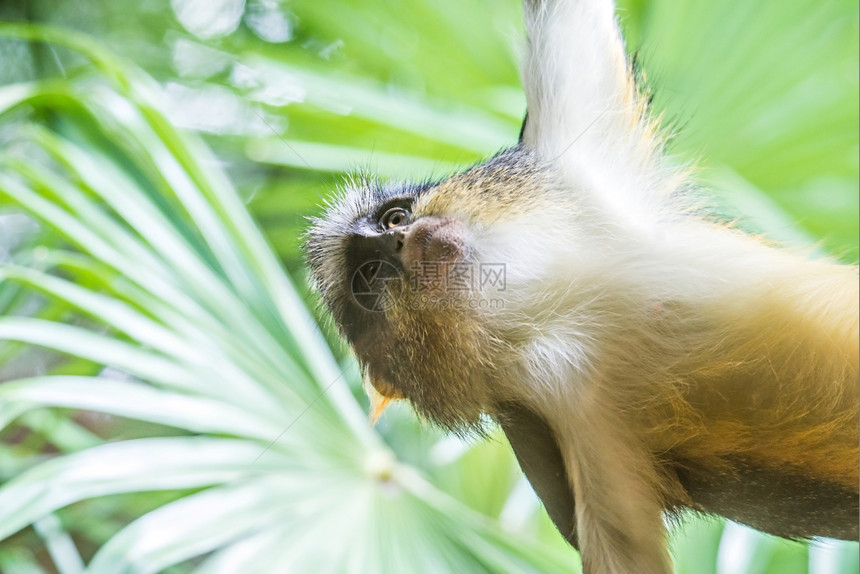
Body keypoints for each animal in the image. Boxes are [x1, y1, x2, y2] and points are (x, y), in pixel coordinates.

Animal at [302, 0, 852, 572]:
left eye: (393, 217)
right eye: (368, 275)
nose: (401, 241)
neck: (550, 299)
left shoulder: (575, 175)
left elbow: (566, 21)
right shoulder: (548, 409)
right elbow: (624, 550)